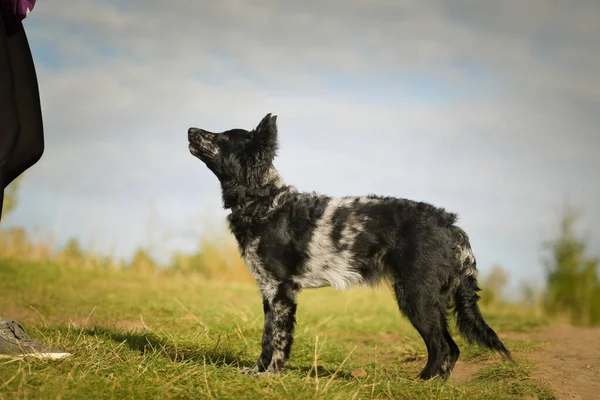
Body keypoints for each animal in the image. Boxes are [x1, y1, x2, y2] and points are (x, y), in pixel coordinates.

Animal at [186, 114, 510, 380]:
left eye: (223, 137)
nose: (189, 129)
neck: (266, 201)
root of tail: (451, 226)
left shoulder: (280, 290)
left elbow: (276, 338)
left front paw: (269, 375)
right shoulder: (269, 290)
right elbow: (268, 337)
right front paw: (258, 370)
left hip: (416, 297)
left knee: (443, 347)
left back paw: (421, 383)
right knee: (449, 349)